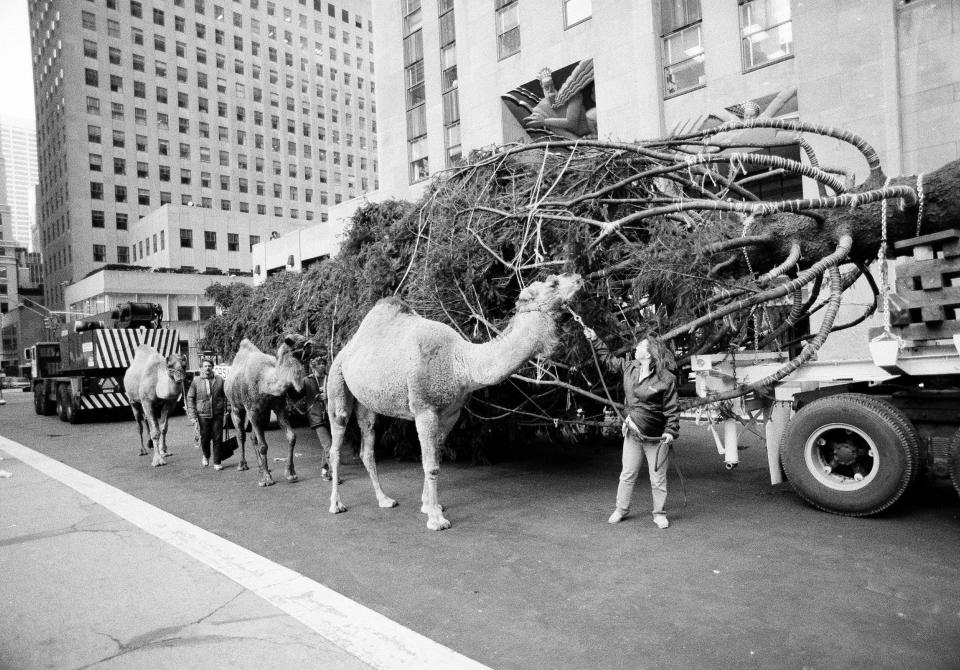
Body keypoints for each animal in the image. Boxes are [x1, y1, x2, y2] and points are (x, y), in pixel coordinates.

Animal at [224, 336, 312, 488]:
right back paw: (242, 465)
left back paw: (260, 468)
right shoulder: (252, 410)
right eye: (299, 342)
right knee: (241, 435)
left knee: (253, 437)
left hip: (263, 414)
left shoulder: (278, 407)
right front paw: (266, 479)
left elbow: (291, 437)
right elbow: (263, 446)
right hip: (236, 406)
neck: (265, 382)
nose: (311, 344)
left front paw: (290, 474)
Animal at [328, 272, 584, 532]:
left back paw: (384, 499)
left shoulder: (451, 413)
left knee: (367, 447)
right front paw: (436, 519)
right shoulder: (424, 409)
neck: (459, 362)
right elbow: (430, 464)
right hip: (336, 382)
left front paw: (428, 506)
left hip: (367, 402)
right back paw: (336, 504)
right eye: (553, 283)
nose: (578, 278)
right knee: (336, 442)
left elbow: (436, 458)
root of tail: (347, 348)